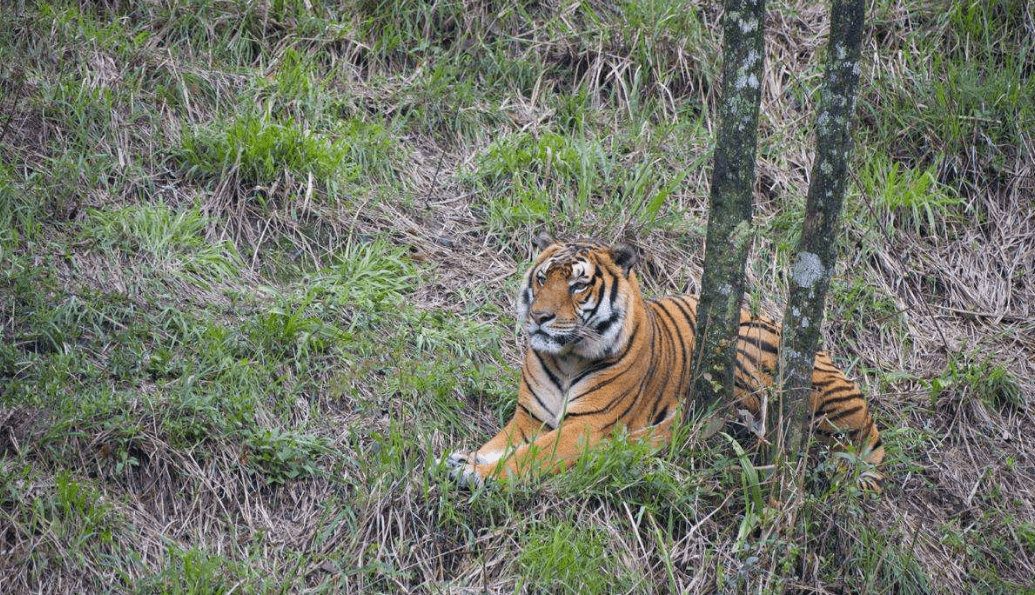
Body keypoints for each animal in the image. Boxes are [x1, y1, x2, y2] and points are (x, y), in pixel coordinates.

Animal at [445, 234, 881, 490]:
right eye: (542, 279)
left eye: (578, 284)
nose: (539, 317)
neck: (567, 357)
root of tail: (869, 419)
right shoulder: (529, 418)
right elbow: (500, 443)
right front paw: (469, 456)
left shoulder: (585, 427)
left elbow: (531, 456)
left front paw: (477, 472)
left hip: (741, 350)